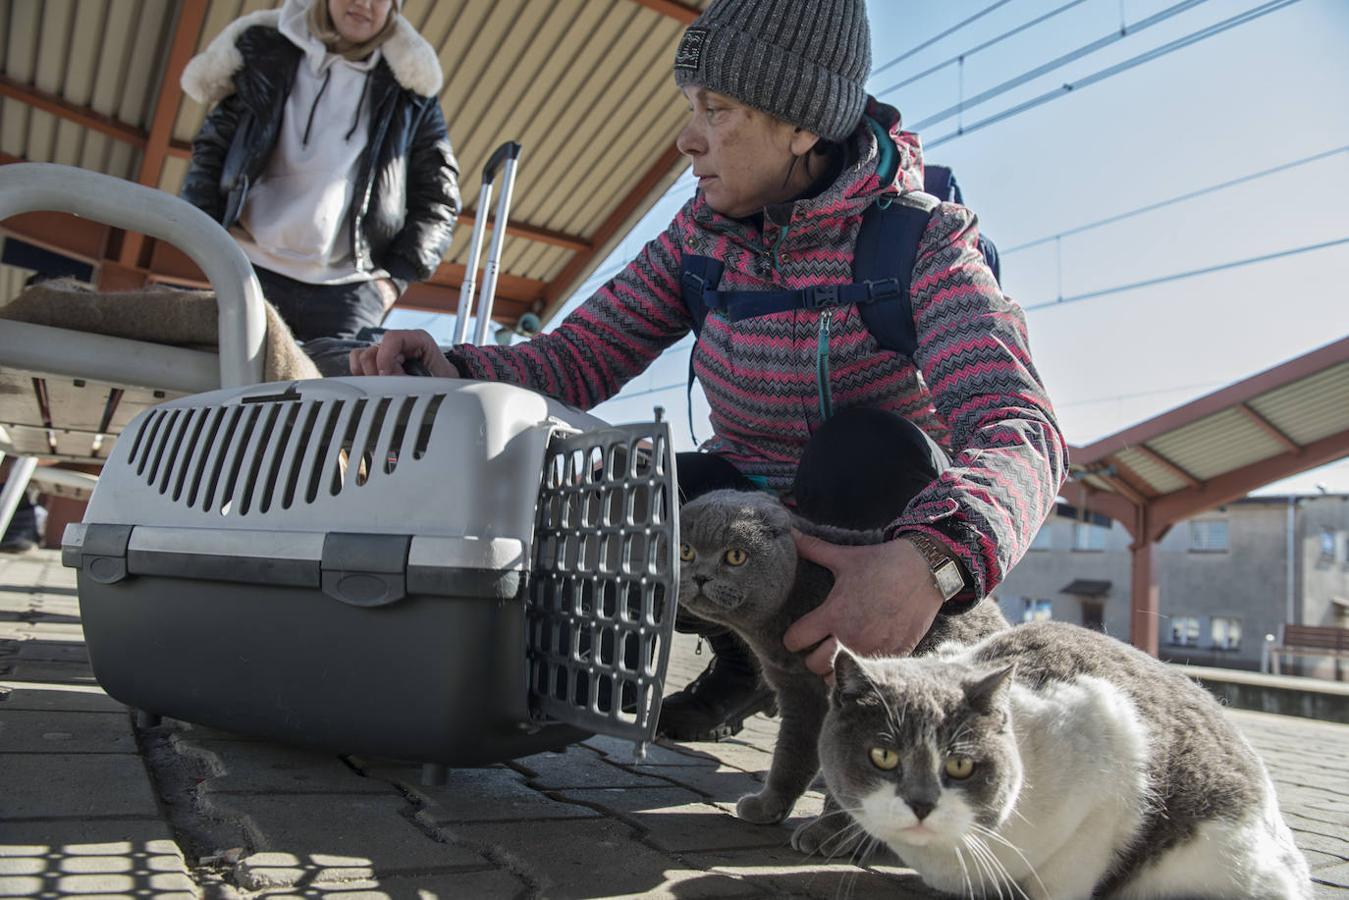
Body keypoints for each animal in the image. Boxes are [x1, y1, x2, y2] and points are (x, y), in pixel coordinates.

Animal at [679, 488, 1009, 841]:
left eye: (735, 556)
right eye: (685, 551)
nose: (700, 576)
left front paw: (826, 834)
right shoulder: (800, 696)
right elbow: (791, 757)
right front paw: (768, 806)